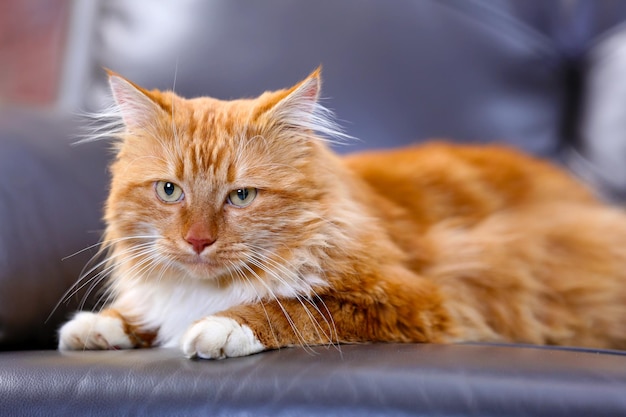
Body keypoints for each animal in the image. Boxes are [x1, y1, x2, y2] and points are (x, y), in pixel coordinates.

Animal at [59, 69, 624, 358]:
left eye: (241, 197)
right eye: (169, 190)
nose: (198, 241)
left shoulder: (415, 299)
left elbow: (293, 307)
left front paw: (220, 327)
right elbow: (141, 309)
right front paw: (101, 325)